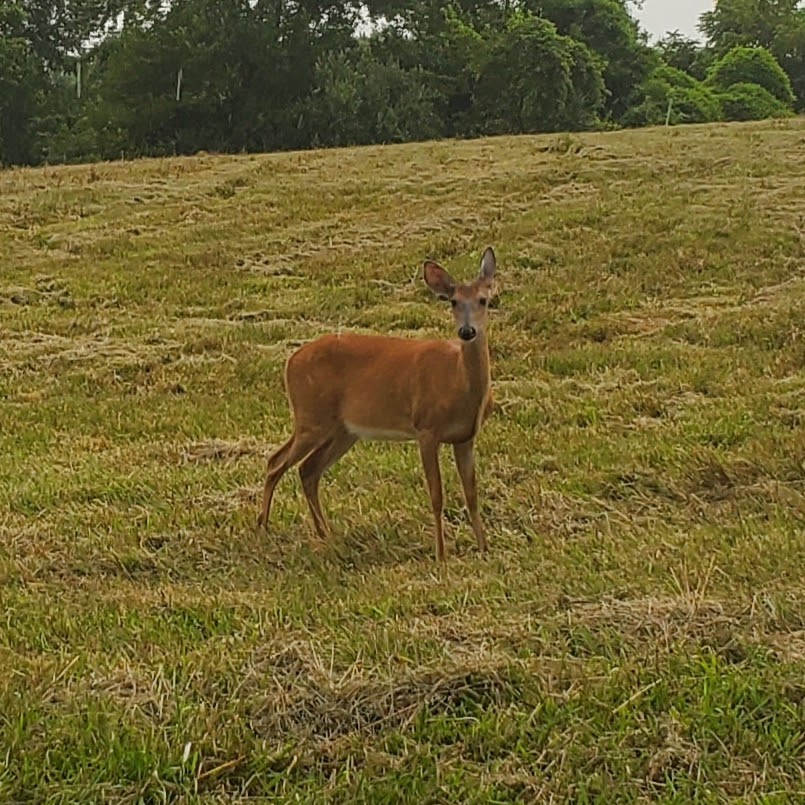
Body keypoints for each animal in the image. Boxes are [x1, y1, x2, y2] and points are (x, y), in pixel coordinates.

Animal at [258, 245, 496, 560]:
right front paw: (440, 555)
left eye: (483, 300)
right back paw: (262, 528)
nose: (467, 332)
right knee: (276, 461)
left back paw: (326, 535)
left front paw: (484, 549)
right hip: (311, 417)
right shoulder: (426, 428)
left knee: (308, 470)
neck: (459, 385)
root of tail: (290, 361)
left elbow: (472, 494)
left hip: (342, 431)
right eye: (453, 302)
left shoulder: (465, 436)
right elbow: (436, 496)